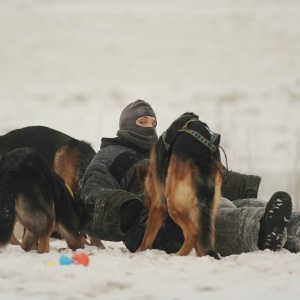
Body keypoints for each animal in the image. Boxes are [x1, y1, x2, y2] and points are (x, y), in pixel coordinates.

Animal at [136, 113, 223, 258]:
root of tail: (202, 153)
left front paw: (138, 253)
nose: (145, 205)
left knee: (193, 233)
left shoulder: (158, 204)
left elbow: (147, 237)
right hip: (206, 207)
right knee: (201, 239)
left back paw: (178, 255)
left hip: (173, 203)